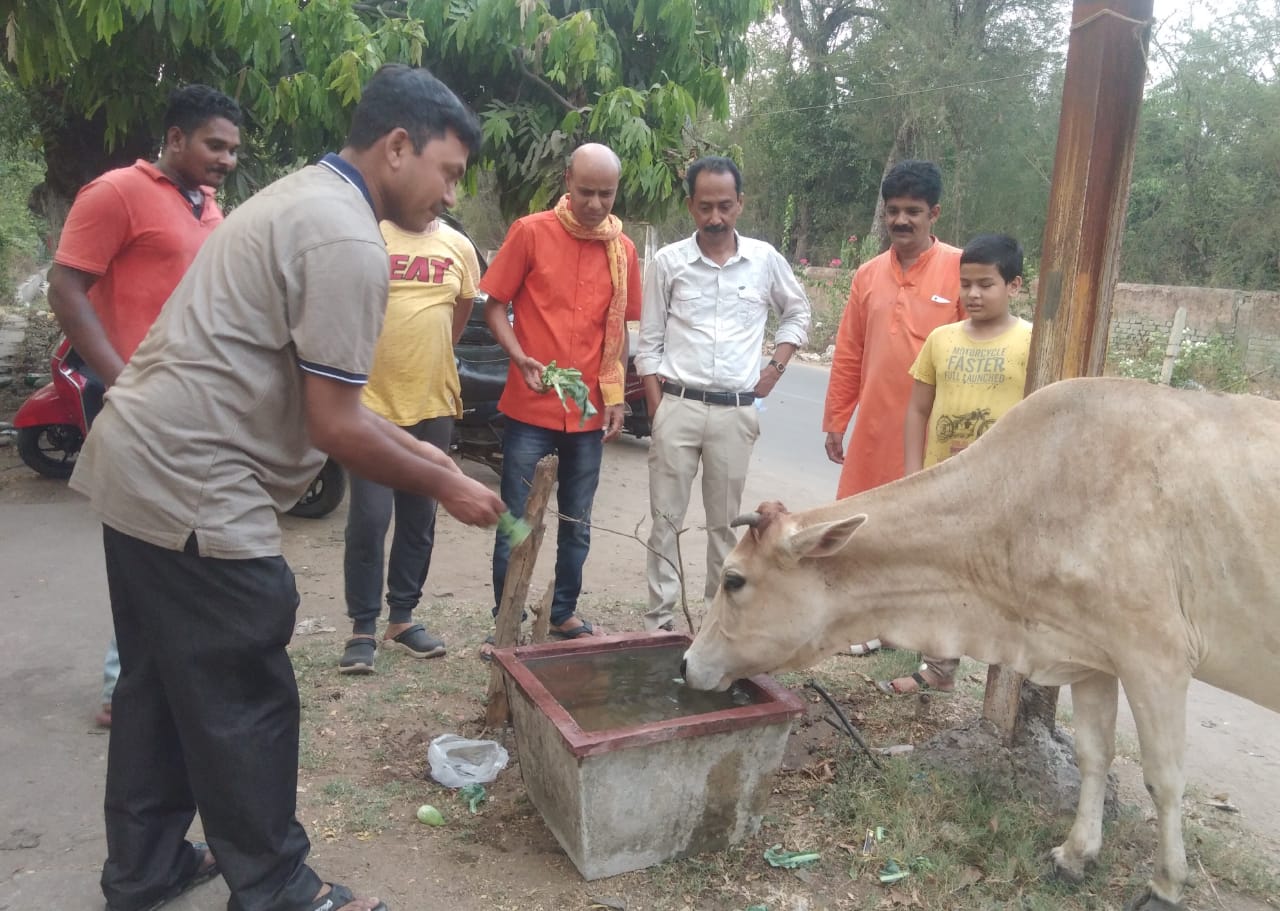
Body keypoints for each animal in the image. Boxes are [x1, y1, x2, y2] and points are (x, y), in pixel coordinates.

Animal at [681, 376, 1280, 911]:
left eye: (734, 580)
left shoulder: (1157, 657)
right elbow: (1093, 754)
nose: (686, 663)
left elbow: (1165, 779)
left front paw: (1166, 884)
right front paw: (1075, 855)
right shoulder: (1092, 657)